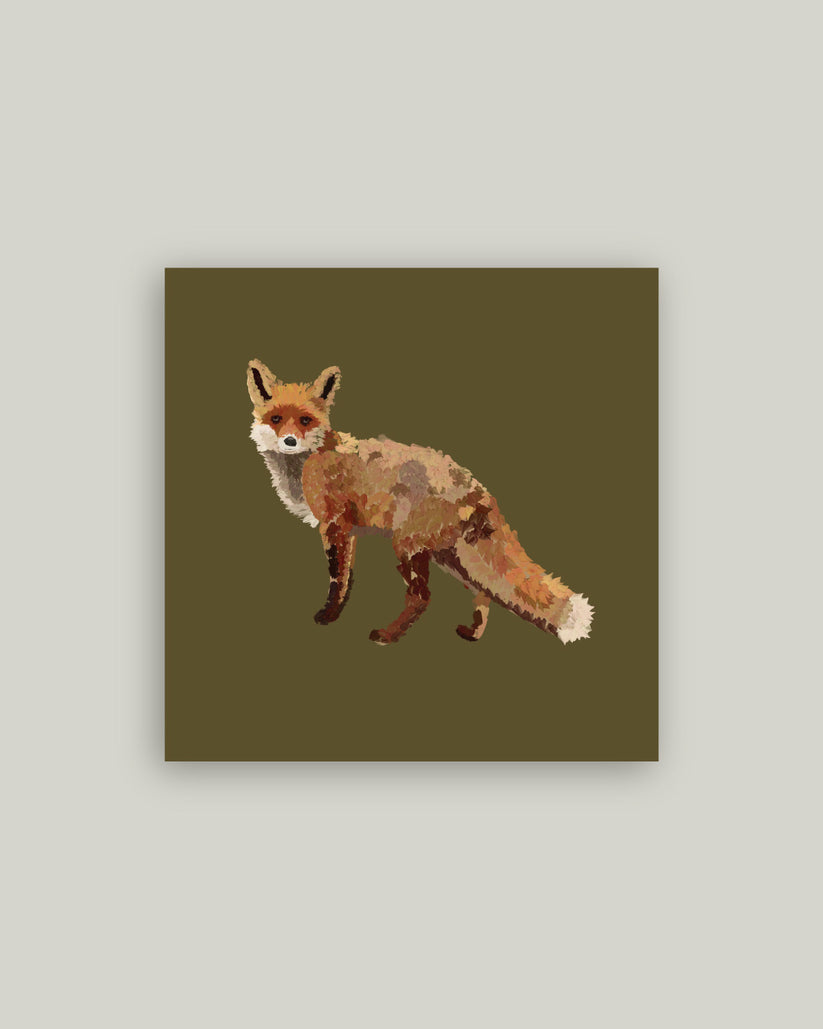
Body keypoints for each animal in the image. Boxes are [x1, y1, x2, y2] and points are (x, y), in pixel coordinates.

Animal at [247, 360, 593, 646]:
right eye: (276, 419)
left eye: (305, 420)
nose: (289, 441)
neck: (308, 461)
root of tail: (477, 487)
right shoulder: (349, 530)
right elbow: (347, 577)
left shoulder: (335, 524)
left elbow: (338, 579)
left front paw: (329, 616)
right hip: (449, 556)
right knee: (483, 593)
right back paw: (472, 634)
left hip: (408, 547)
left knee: (422, 597)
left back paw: (387, 636)